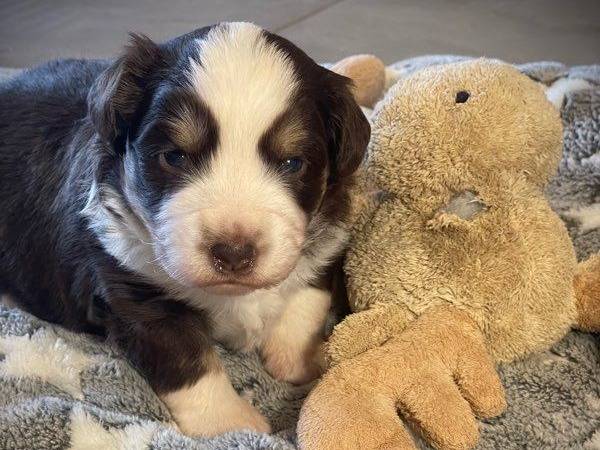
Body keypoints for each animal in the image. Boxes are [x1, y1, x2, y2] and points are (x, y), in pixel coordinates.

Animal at [0, 22, 369, 435]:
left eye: (292, 162)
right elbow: (189, 361)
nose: (233, 253)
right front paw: (229, 424)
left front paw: (299, 357)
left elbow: (309, 290)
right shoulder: (136, 291)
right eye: (175, 157)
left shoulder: (332, 232)